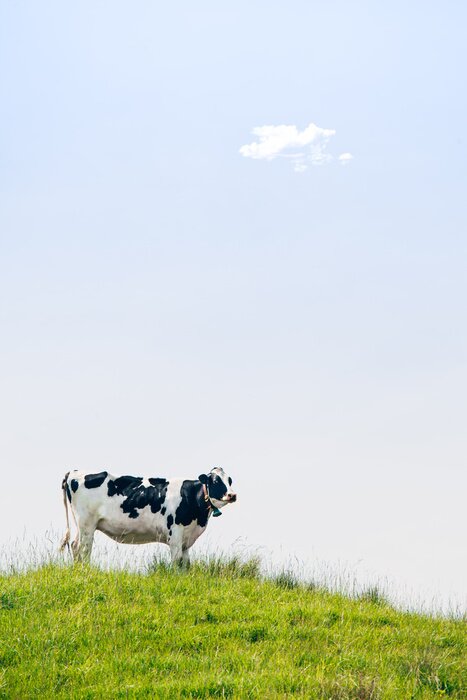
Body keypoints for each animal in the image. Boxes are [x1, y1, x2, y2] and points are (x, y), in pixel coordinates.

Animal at [60, 466, 237, 566]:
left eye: (230, 480)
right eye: (215, 481)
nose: (232, 495)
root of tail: (74, 472)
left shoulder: (186, 539)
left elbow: (186, 563)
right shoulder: (175, 535)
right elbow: (177, 562)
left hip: (82, 525)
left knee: (75, 546)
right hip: (87, 524)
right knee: (83, 549)